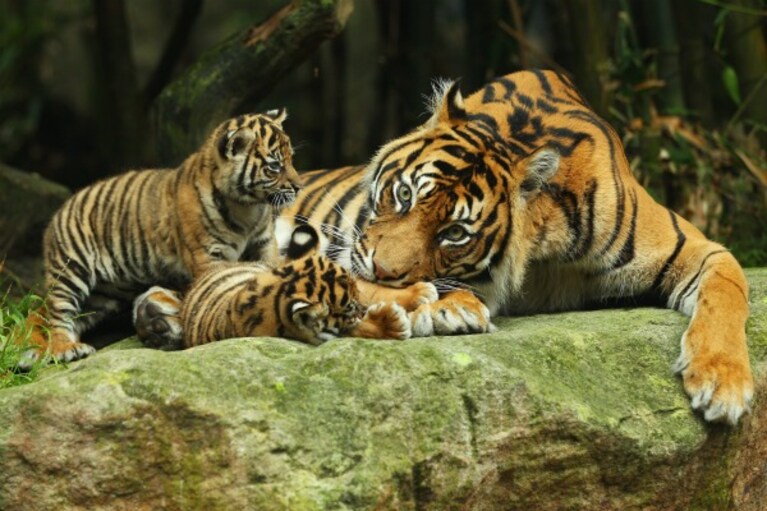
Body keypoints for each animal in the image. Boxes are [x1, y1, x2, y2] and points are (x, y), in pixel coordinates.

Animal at [24, 110, 301, 365]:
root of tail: (63, 207)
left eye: (291, 159)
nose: (298, 187)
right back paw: (64, 349)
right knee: (57, 313)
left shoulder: (264, 243)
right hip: (71, 270)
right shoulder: (208, 255)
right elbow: (216, 286)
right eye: (274, 166)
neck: (247, 207)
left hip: (104, 297)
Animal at [137, 70, 753, 425]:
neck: (545, 261)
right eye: (404, 194)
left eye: (454, 233)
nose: (383, 269)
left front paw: (722, 383)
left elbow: (729, 292)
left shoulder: (698, 247)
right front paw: (444, 306)